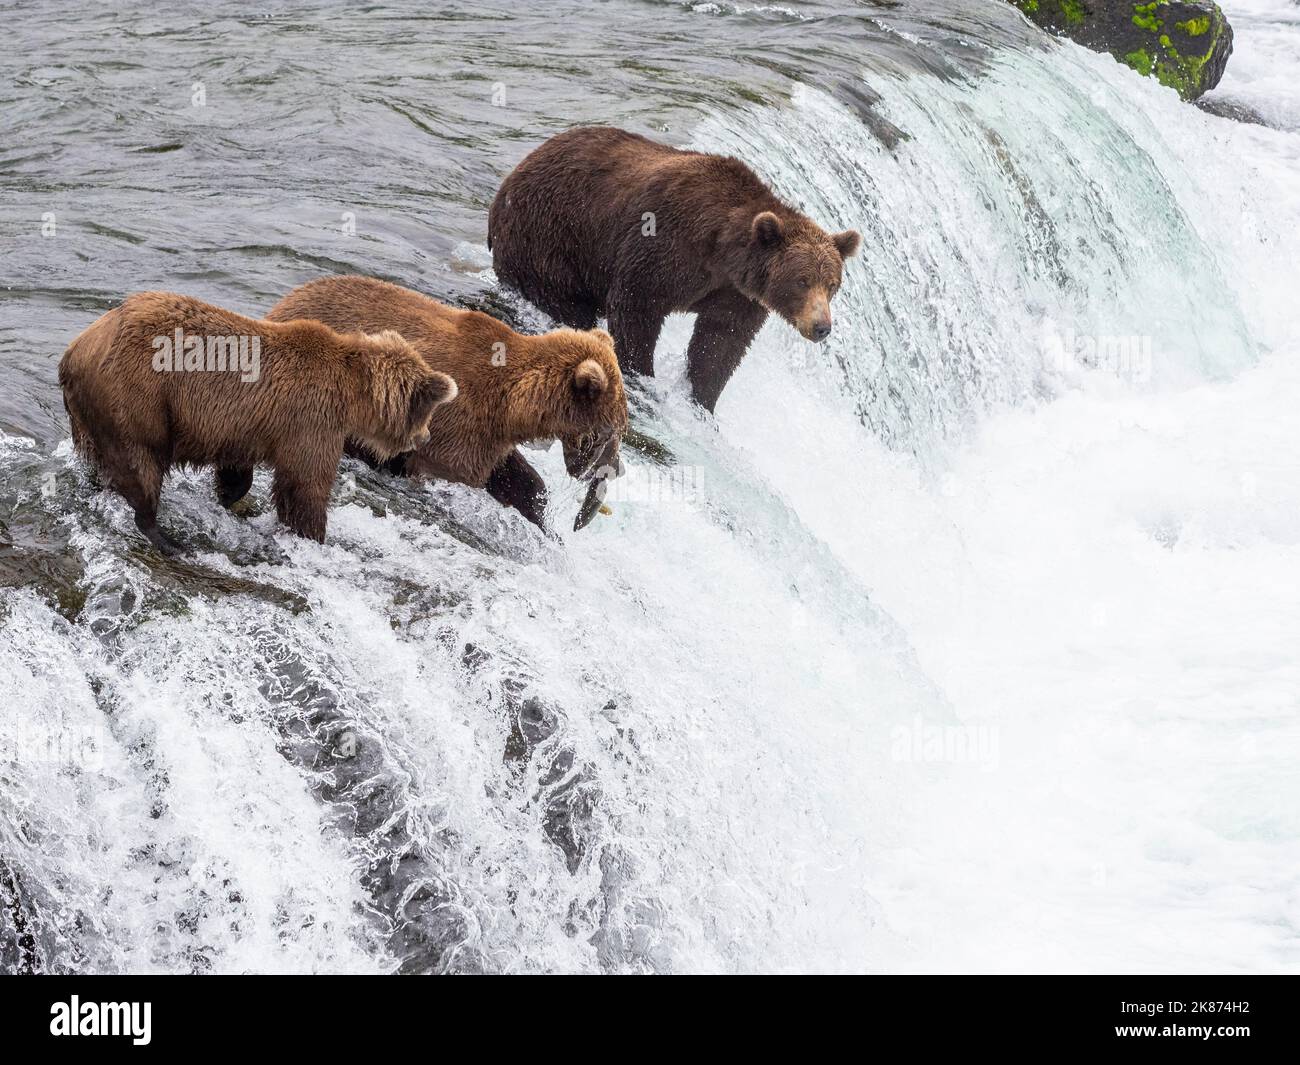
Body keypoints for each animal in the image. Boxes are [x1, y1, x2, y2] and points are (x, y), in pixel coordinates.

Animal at [265, 274, 629, 533]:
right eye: (610, 431)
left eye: (621, 426)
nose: (618, 469)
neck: (513, 403)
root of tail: (284, 302)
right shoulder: (456, 419)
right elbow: (452, 469)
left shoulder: (488, 435)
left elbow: (515, 478)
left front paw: (541, 518)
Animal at [488, 122, 863, 410]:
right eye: (802, 281)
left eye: (832, 284)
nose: (822, 327)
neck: (722, 252)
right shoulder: (665, 245)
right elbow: (637, 306)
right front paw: (641, 373)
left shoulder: (737, 295)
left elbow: (720, 343)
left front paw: (703, 400)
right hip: (551, 239)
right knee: (563, 301)